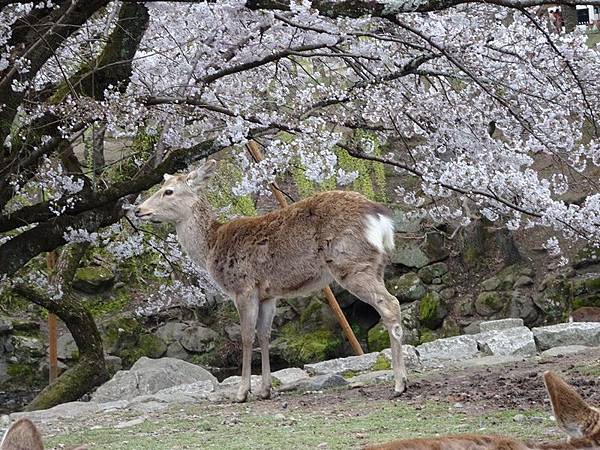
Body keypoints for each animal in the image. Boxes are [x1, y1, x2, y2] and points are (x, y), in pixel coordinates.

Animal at [135, 160, 408, 402]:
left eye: (168, 191)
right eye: (161, 186)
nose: (138, 210)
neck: (210, 248)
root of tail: (381, 218)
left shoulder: (243, 287)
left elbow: (246, 336)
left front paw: (241, 393)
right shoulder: (268, 294)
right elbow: (264, 335)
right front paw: (265, 390)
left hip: (350, 264)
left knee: (390, 304)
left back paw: (399, 384)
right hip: (376, 265)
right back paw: (402, 380)